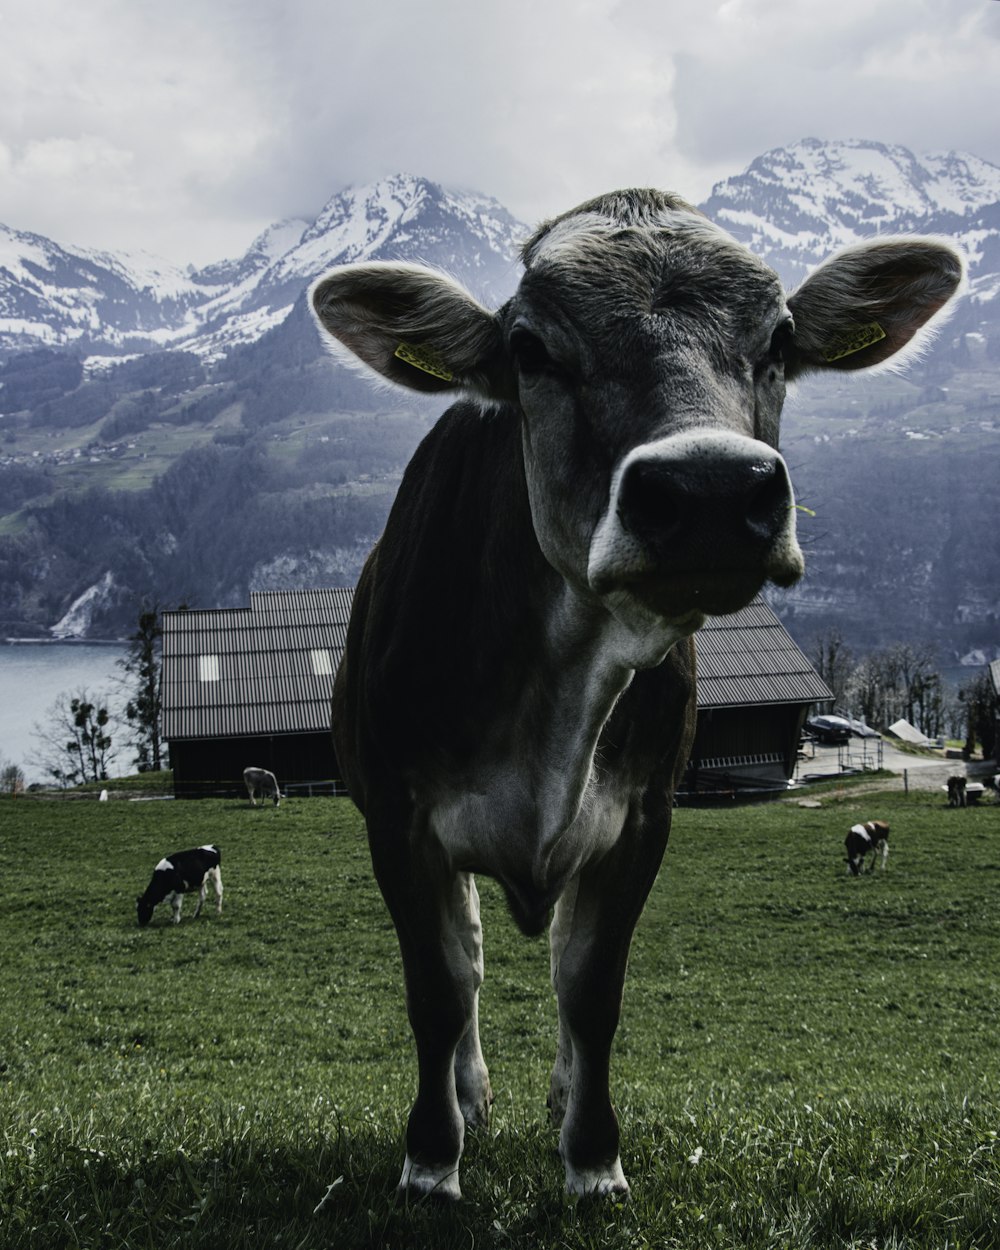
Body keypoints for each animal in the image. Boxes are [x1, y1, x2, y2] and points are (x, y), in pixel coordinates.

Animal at [310, 187, 960, 1200]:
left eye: (780, 338)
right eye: (530, 348)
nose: (709, 488)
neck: (557, 703)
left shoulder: (643, 816)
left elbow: (591, 989)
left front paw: (592, 1159)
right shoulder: (398, 818)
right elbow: (441, 989)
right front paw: (431, 1159)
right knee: (474, 963)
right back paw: (472, 1096)